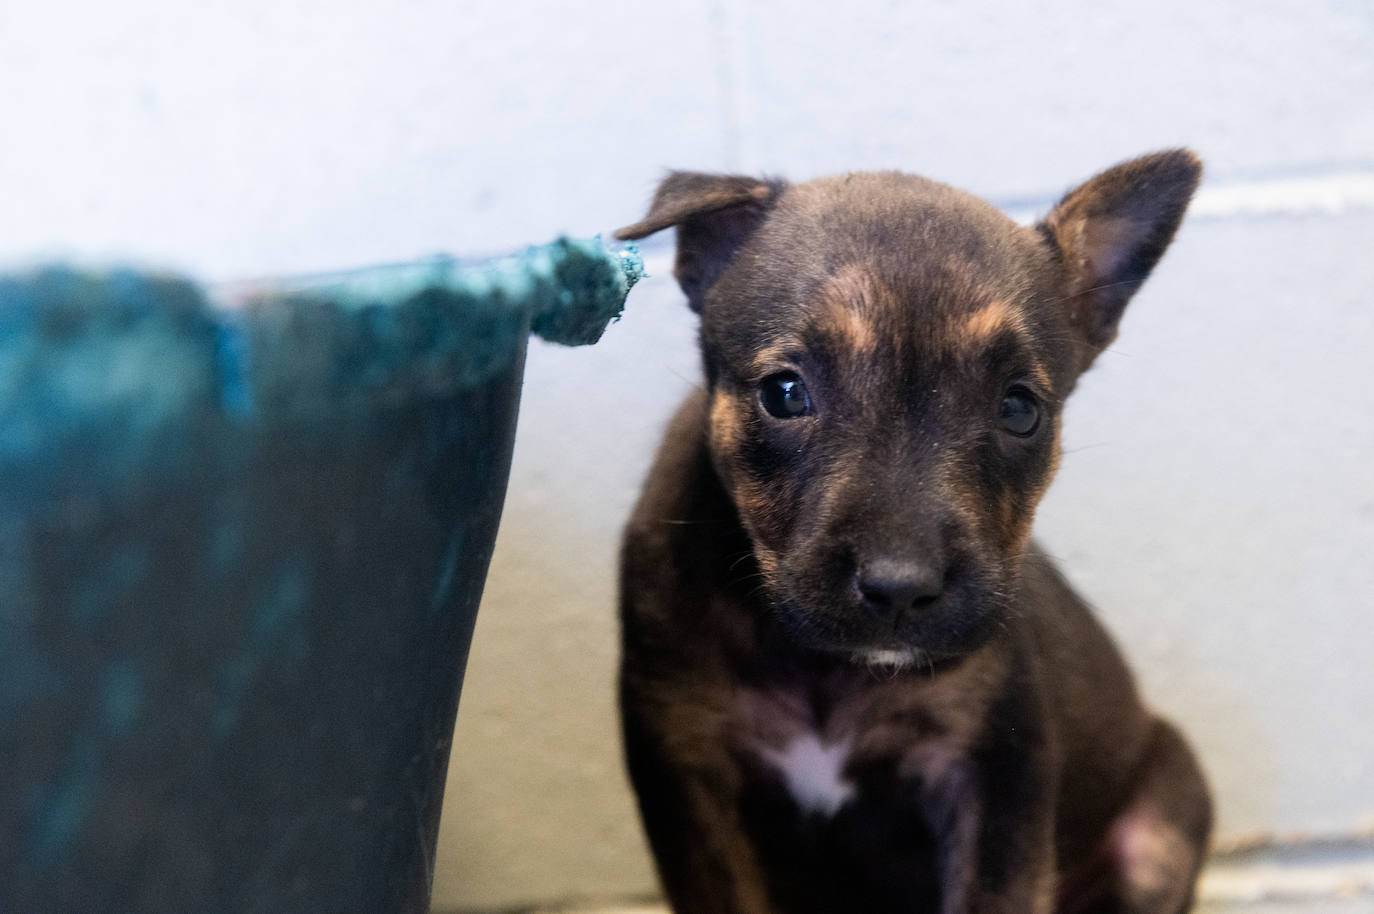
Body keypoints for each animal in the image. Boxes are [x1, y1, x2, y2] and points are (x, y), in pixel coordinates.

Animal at [618, 151, 1209, 912]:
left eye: (1020, 409)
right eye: (784, 393)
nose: (901, 589)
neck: (826, 666)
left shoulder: (990, 777)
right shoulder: (690, 773)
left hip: (1159, 830)